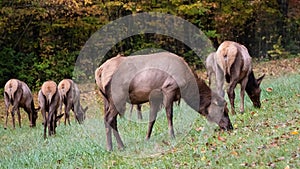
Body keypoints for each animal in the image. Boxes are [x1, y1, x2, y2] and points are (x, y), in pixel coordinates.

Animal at [95, 51, 233, 151]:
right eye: (224, 111)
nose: (230, 127)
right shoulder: (169, 88)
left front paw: (147, 138)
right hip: (118, 96)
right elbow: (169, 114)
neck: (187, 84)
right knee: (108, 119)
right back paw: (110, 147)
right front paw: (172, 136)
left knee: (112, 120)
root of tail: (99, 71)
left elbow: (152, 119)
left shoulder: (155, 97)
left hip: (107, 100)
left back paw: (120, 146)